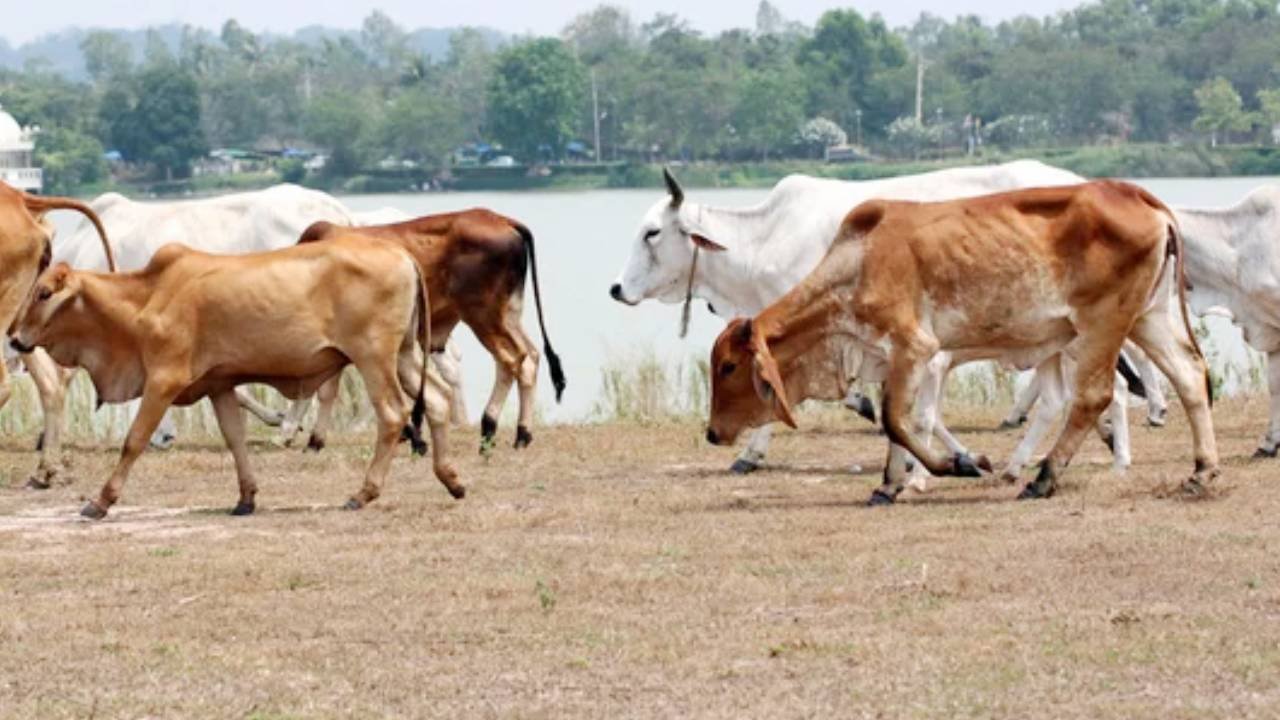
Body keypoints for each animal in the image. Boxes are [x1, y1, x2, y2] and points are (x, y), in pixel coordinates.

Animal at [299, 207, 565, 450]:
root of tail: (502, 220)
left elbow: (327, 390)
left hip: (483, 315)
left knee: (512, 359)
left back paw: (489, 428)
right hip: (509, 314)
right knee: (530, 356)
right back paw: (523, 433)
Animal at [614, 163, 1146, 481]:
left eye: (653, 232)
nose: (616, 289)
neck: (763, 242)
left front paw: (750, 454)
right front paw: (956, 458)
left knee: (1113, 386)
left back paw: (1117, 456)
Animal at [711, 181, 1218, 502]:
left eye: (729, 366)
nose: (712, 433)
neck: (856, 265)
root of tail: (1138, 195)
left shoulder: (914, 348)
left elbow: (898, 420)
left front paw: (958, 466)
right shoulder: (891, 358)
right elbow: (899, 423)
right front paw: (889, 485)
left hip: (1102, 324)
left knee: (1094, 396)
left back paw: (1043, 479)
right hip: (1148, 317)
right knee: (1191, 375)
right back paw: (1202, 471)